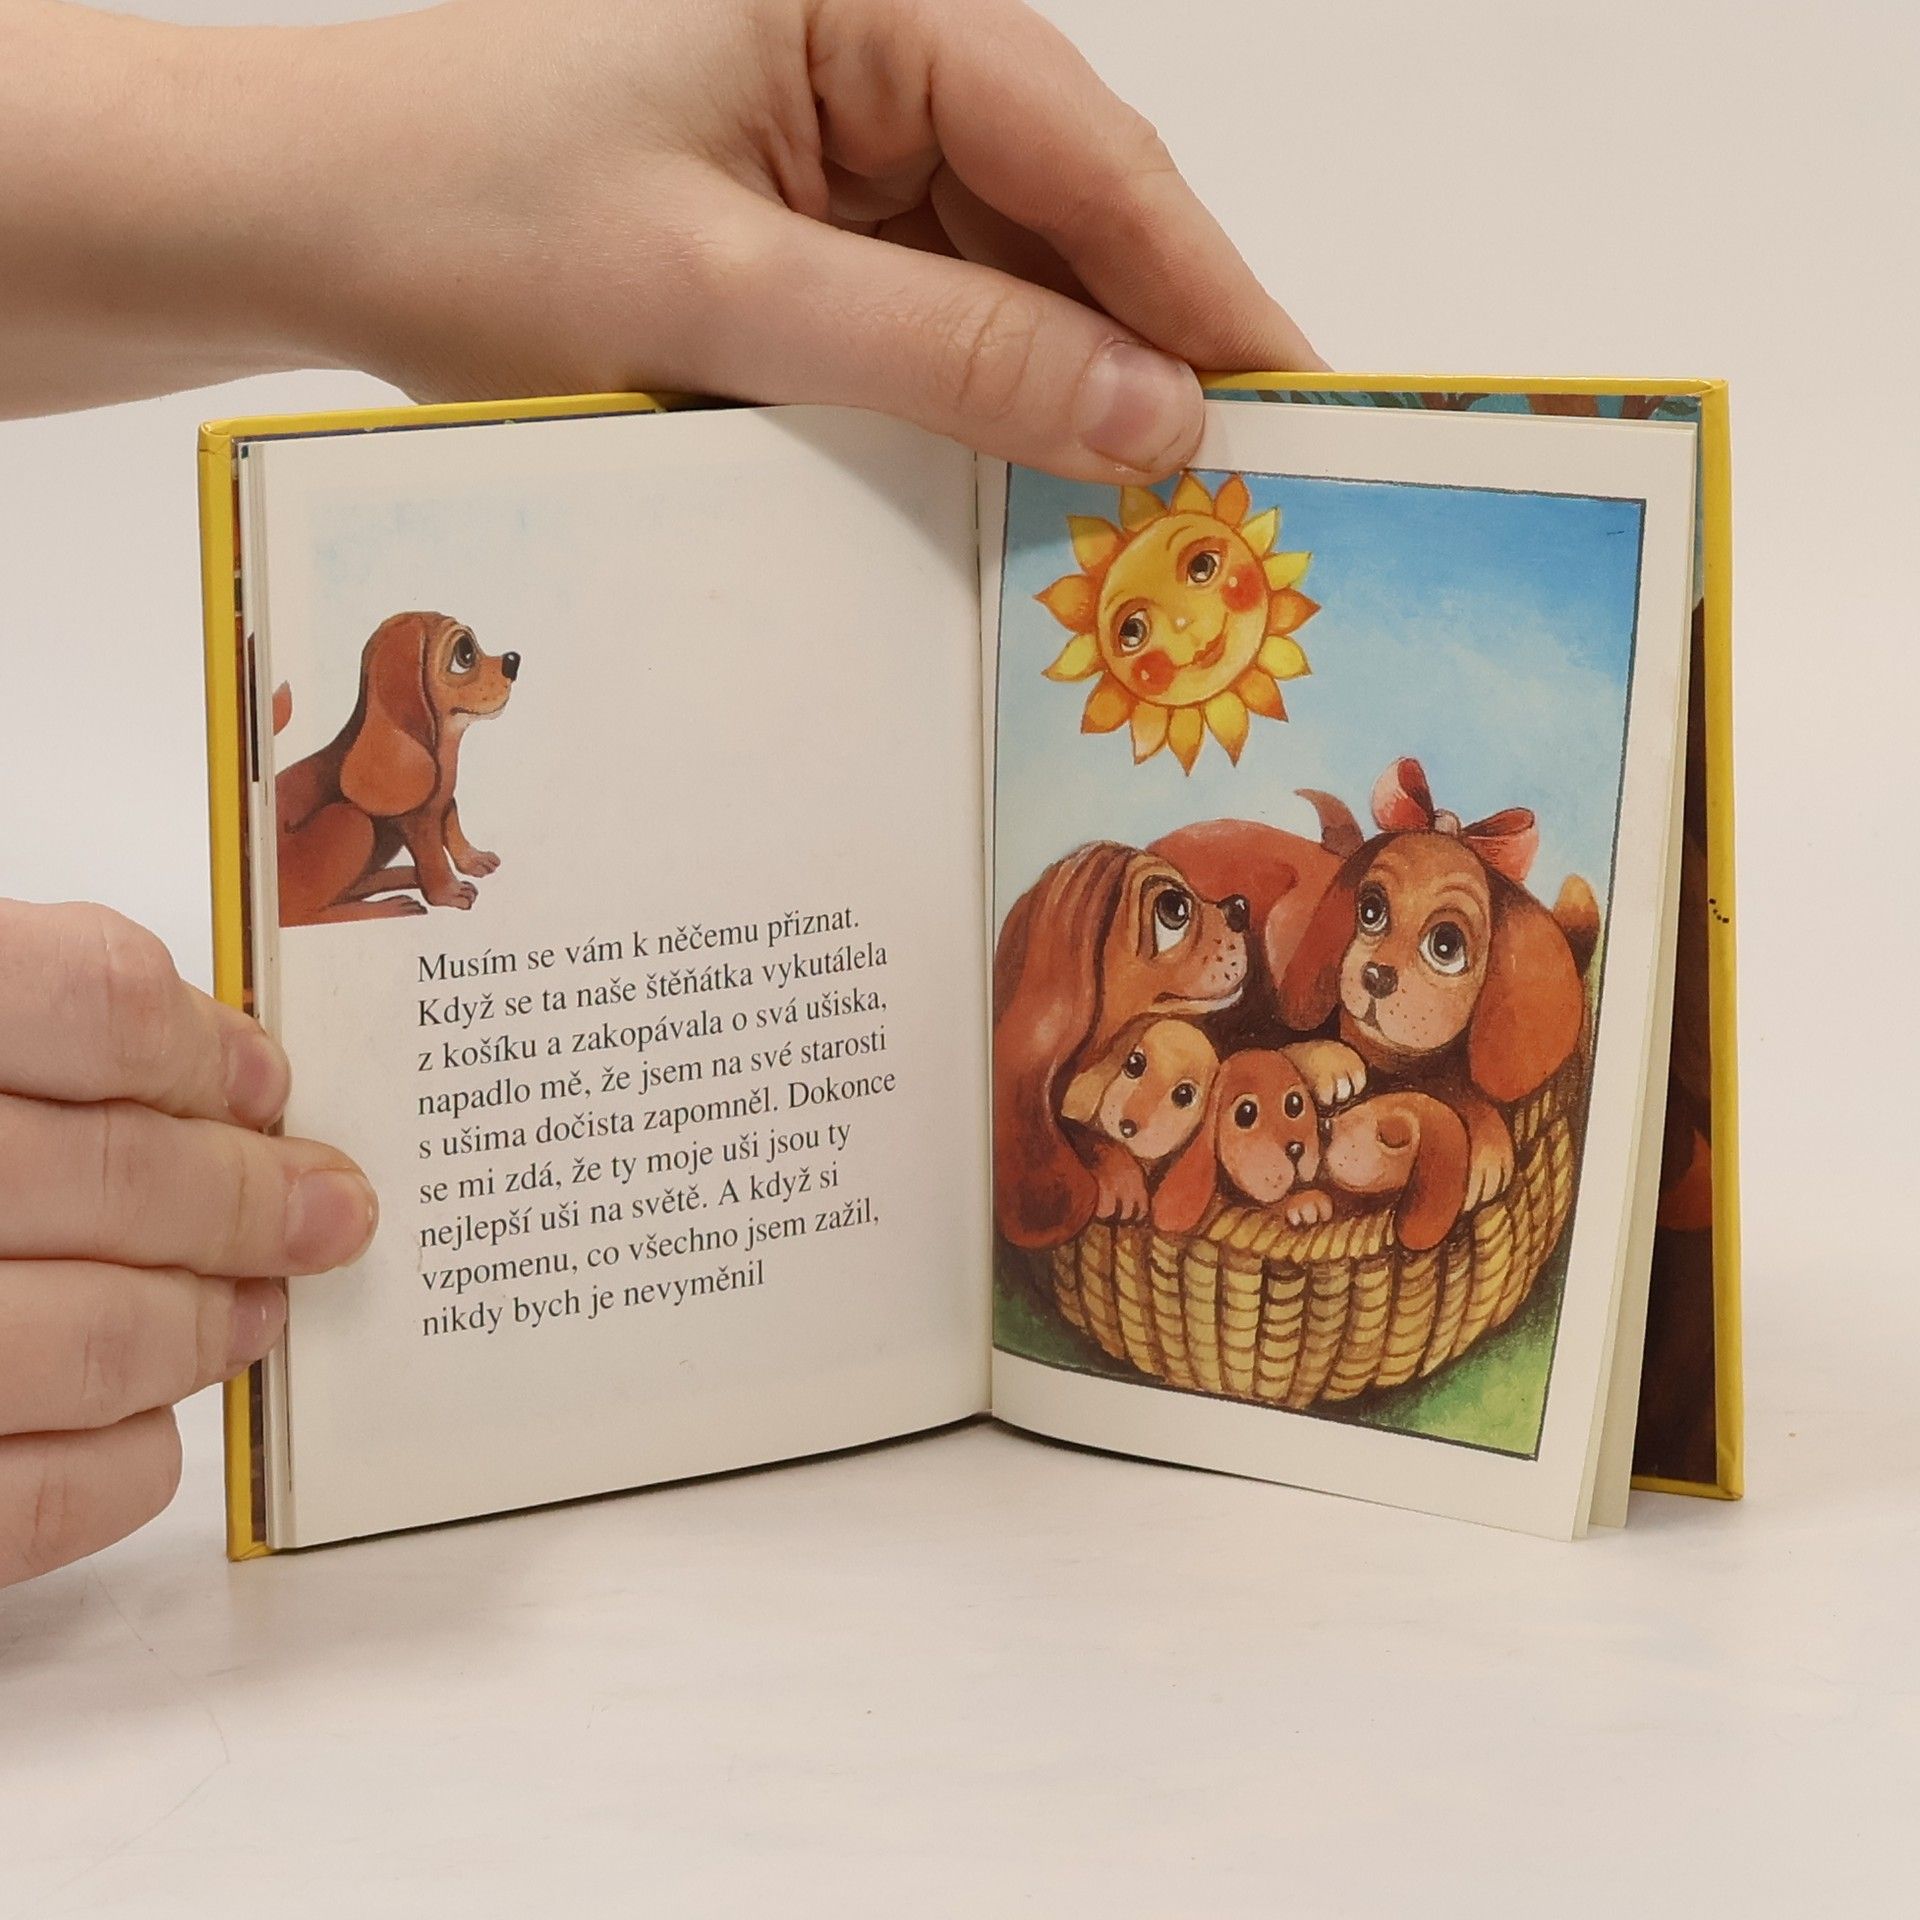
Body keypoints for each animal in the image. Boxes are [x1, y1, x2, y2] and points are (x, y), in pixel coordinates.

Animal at [275, 612, 518, 927]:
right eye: (465, 653)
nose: (513, 660)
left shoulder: (442, 800)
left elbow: (452, 824)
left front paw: (472, 859)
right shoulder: (418, 823)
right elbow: (434, 858)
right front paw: (448, 893)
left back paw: (403, 876)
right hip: (351, 822)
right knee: (301, 915)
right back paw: (388, 906)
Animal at [1278, 758, 1590, 1205]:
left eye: (1446, 945)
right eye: (1370, 910)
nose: (1376, 976)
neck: (1392, 1064)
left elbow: (1462, 1091)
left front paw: (1486, 1145)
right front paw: (1330, 1061)